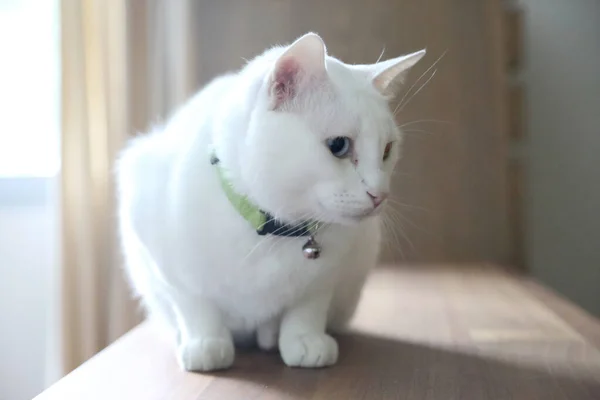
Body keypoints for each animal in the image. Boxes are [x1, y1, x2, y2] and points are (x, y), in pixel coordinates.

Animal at [117, 32, 424, 372]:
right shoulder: (162, 257)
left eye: (387, 150)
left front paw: (304, 340)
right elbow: (196, 306)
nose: (380, 195)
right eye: (339, 146)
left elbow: (307, 308)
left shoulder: (327, 277)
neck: (274, 231)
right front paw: (205, 344)